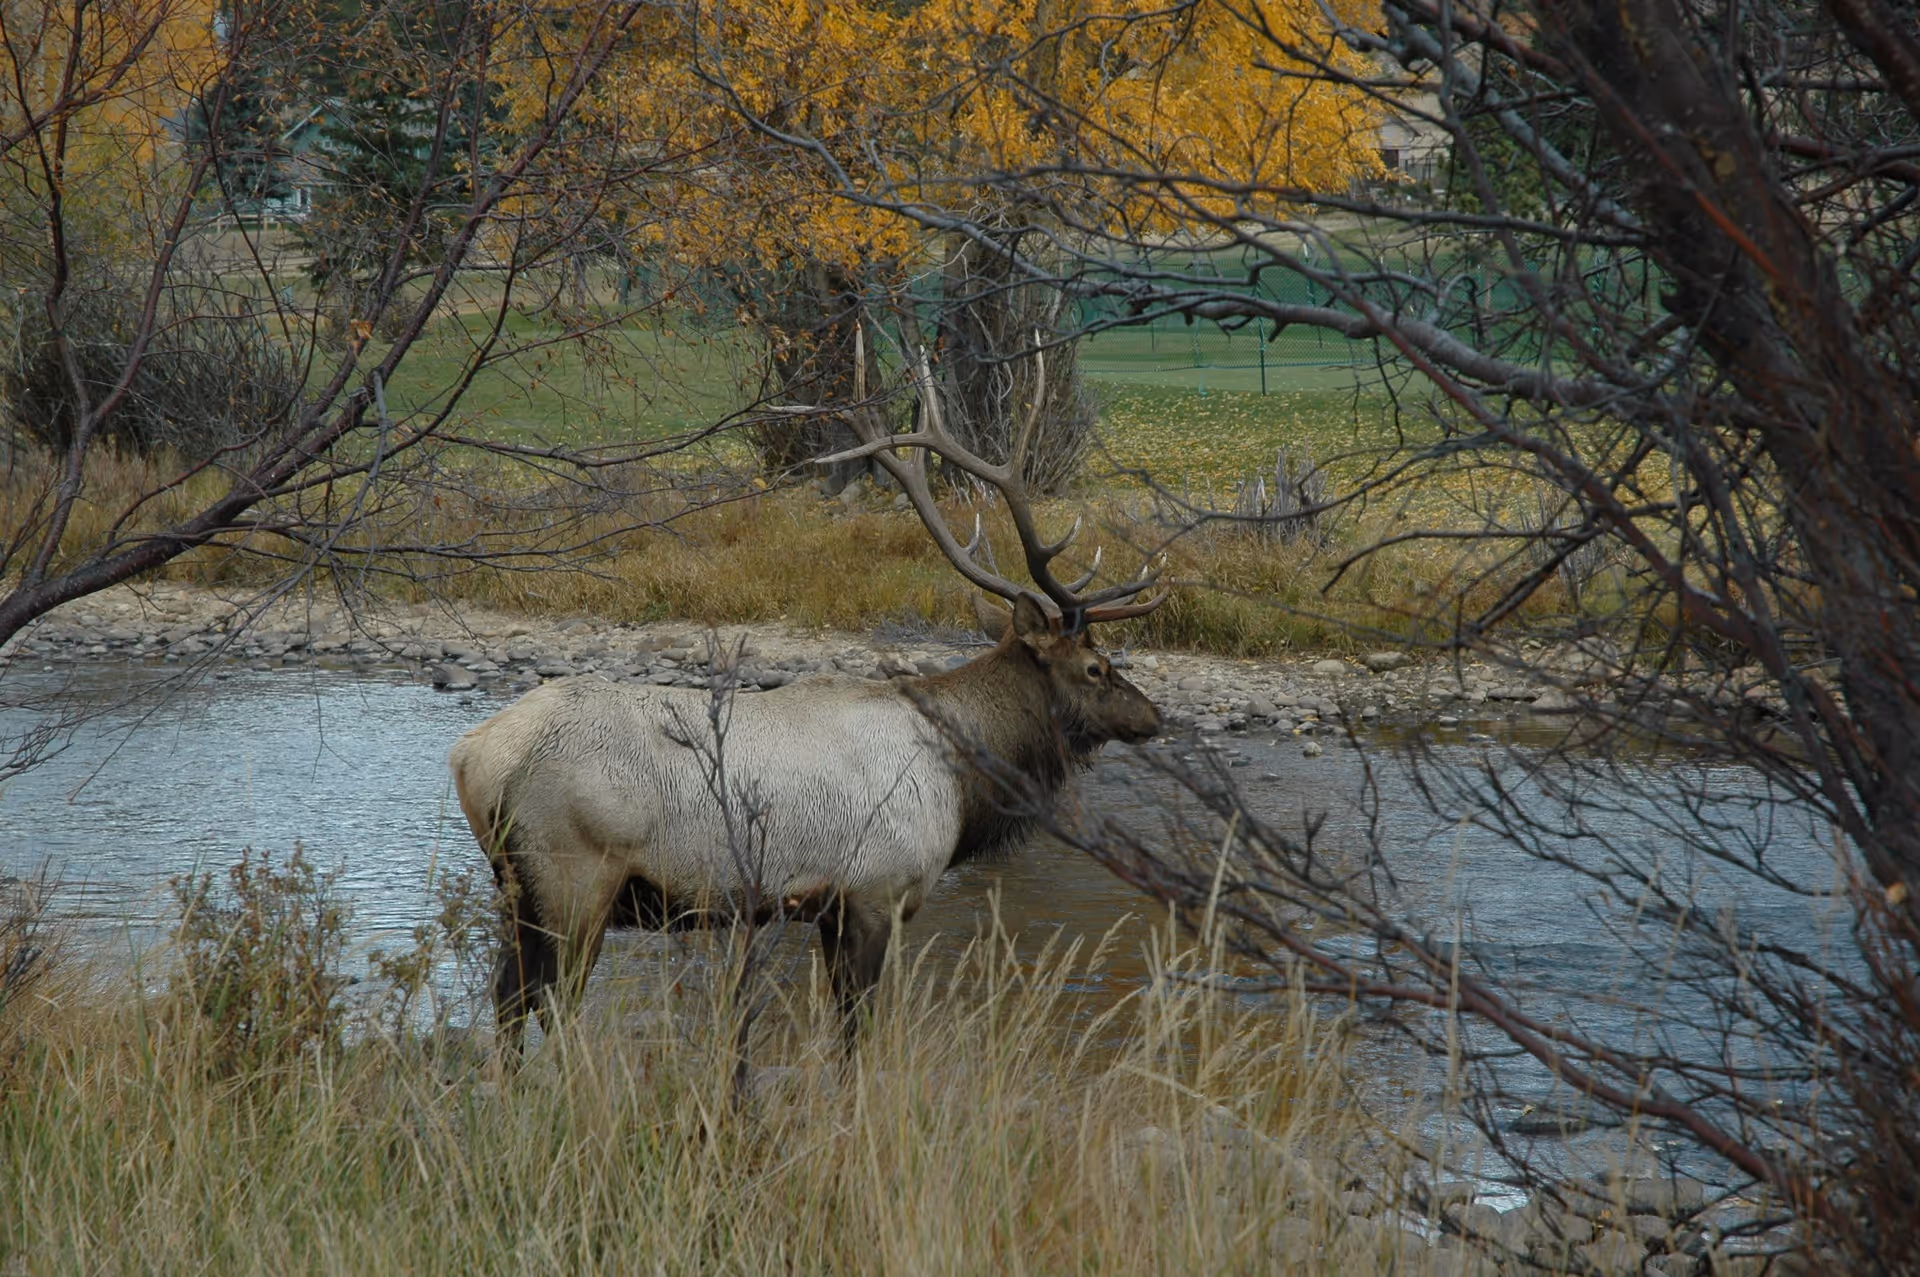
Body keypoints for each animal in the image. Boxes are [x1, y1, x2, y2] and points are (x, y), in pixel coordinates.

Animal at [447, 344, 1166, 1054]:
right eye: (1097, 667)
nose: (1155, 715)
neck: (961, 785)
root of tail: (473, 756)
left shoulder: (827, 907)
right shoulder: (875, 890)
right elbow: (857, 1030)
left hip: (517, 889)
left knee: (509, 1000)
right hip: (574, 876)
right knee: (552, 1003)